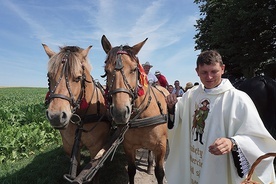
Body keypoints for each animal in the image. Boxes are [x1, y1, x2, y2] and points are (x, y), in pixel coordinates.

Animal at [42, 43, 111, 183]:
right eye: (49, 76)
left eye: (78, 78)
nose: (56, 117)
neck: (82, 118)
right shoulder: (70, 146)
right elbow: (76, 169)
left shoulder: (96, 148)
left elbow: (94, 173)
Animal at [101, 35, 168, 184]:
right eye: (106, 71)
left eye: (133, 69)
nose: (120, 113)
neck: (142, 114)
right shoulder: (128, 146)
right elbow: (131, 170)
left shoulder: (161, 147)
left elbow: (160, 173)